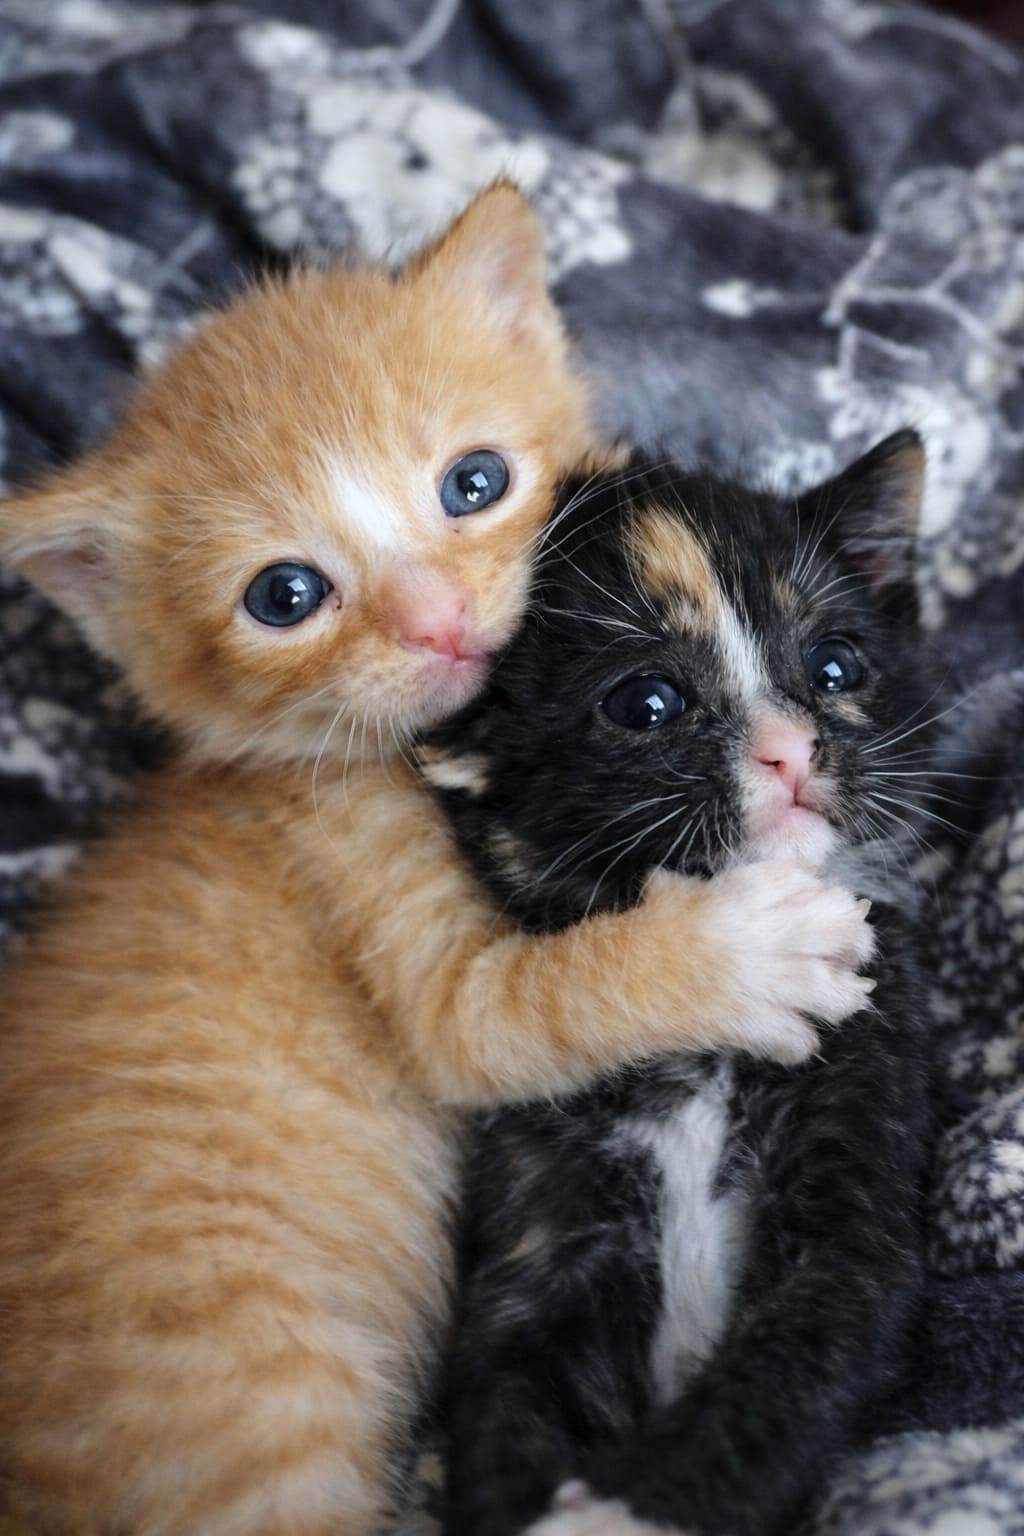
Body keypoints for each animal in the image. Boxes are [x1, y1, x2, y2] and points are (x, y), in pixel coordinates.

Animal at [0, 183, 874, 1536]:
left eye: (474, 483)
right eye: (285, 594)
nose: (440, 624)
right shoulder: (367, 887)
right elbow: (514, 1011)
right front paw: (754, 948)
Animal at [423, 434, 937, 1536]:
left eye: (837, 667)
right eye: (648, 704)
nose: (790, 751)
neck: (705, 1062)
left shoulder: (871, 1104)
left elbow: (804, 1353)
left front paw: (623, 1510)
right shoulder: (535, 1220)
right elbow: (498, 1399)